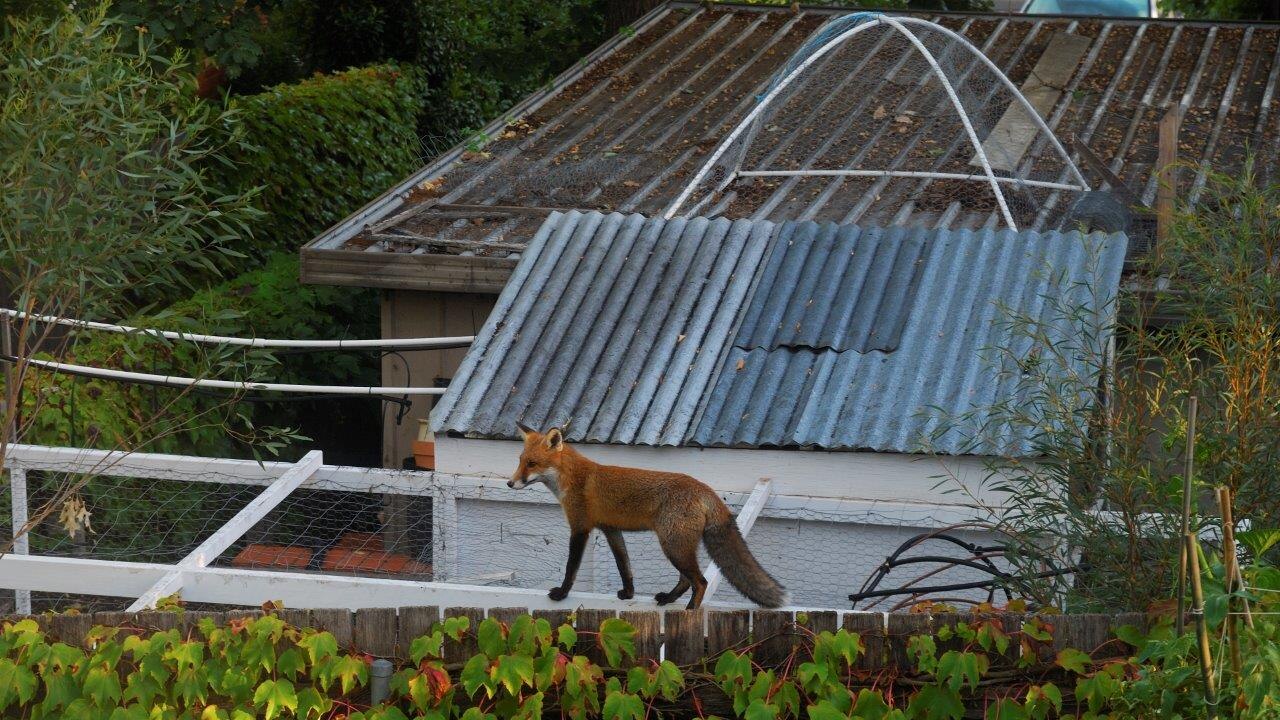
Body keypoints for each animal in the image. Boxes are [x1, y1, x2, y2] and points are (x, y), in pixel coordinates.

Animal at [508, 422, 786, 609]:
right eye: (520, 460)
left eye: (531, 464)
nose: (510, 483)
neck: (573, 478)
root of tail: (705, 488)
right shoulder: (611, 529)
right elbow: (624, 565)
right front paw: (629, 594)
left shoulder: (580, 527)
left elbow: (571, 568)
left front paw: (562, 593)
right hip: (679, 546)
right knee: (687, 580)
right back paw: (669, 599)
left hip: (672, 546)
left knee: (701, 582)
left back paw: (690, 612)